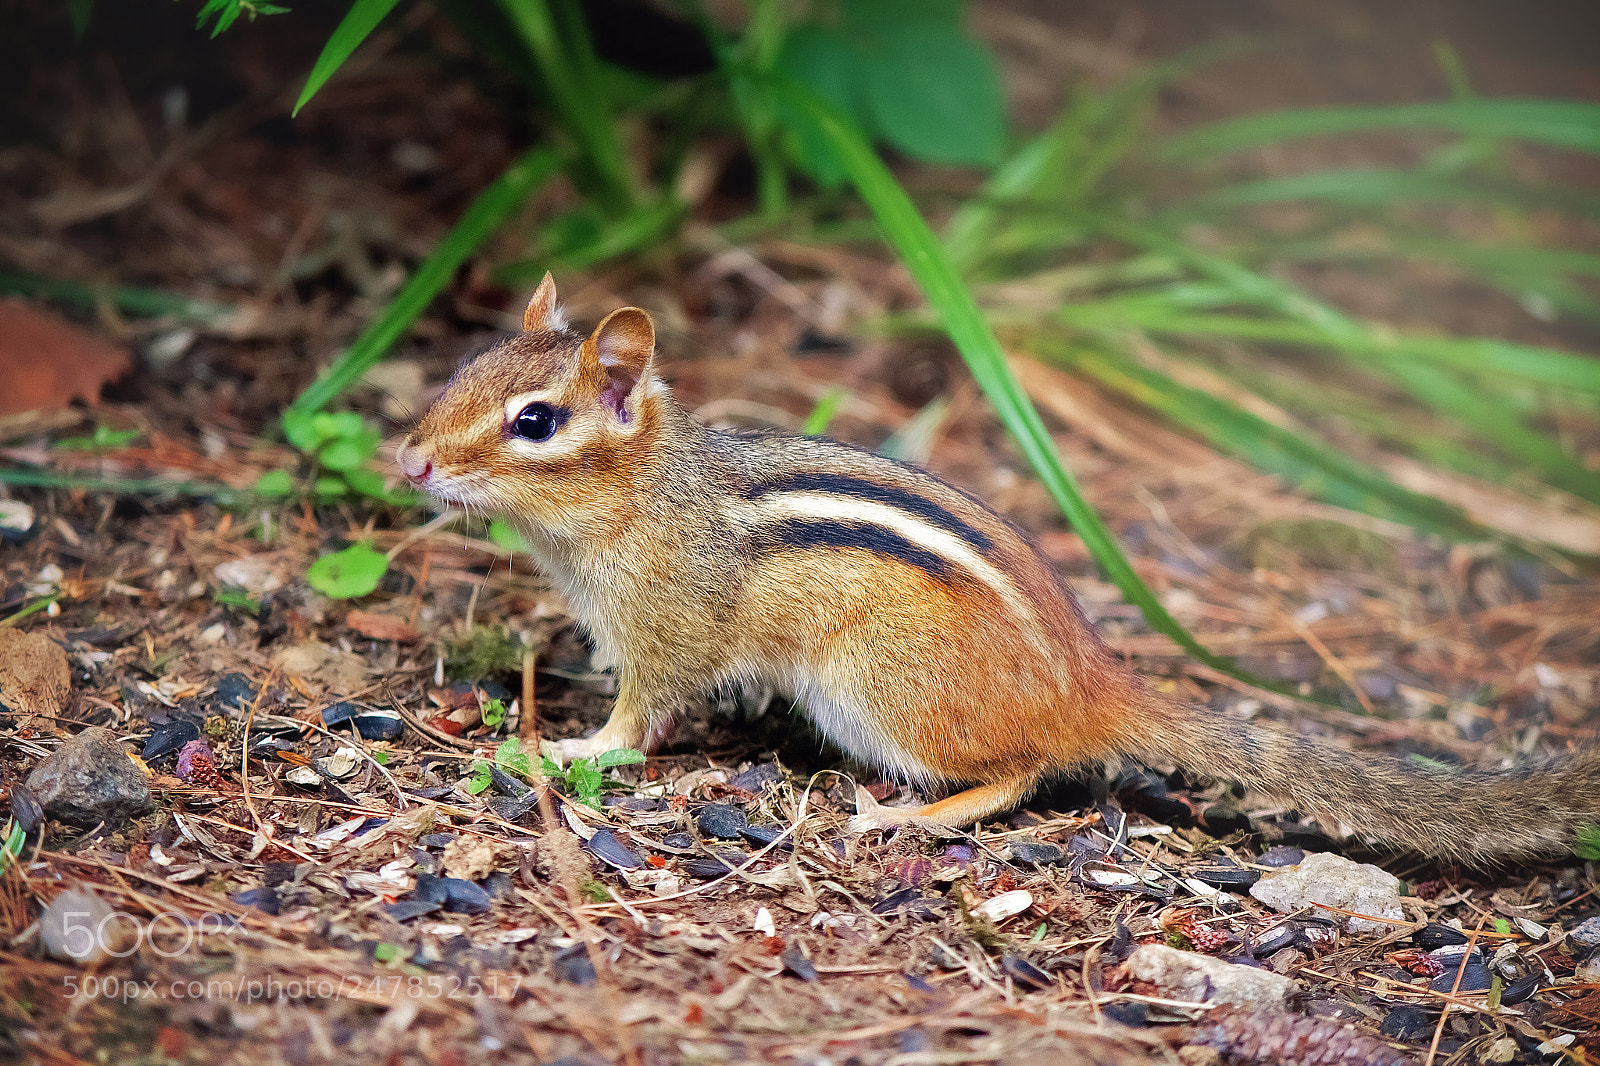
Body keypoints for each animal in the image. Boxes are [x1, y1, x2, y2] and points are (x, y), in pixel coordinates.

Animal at [397, 275, 1600, 864]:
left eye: (536, 421)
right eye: (463, 367)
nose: (408, 459)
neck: (646, 497)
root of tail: (1087, 684)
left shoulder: (666, 634)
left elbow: (639, 719)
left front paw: (564, 746)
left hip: (882, 695)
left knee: (1019, 774)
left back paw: (906, 819)